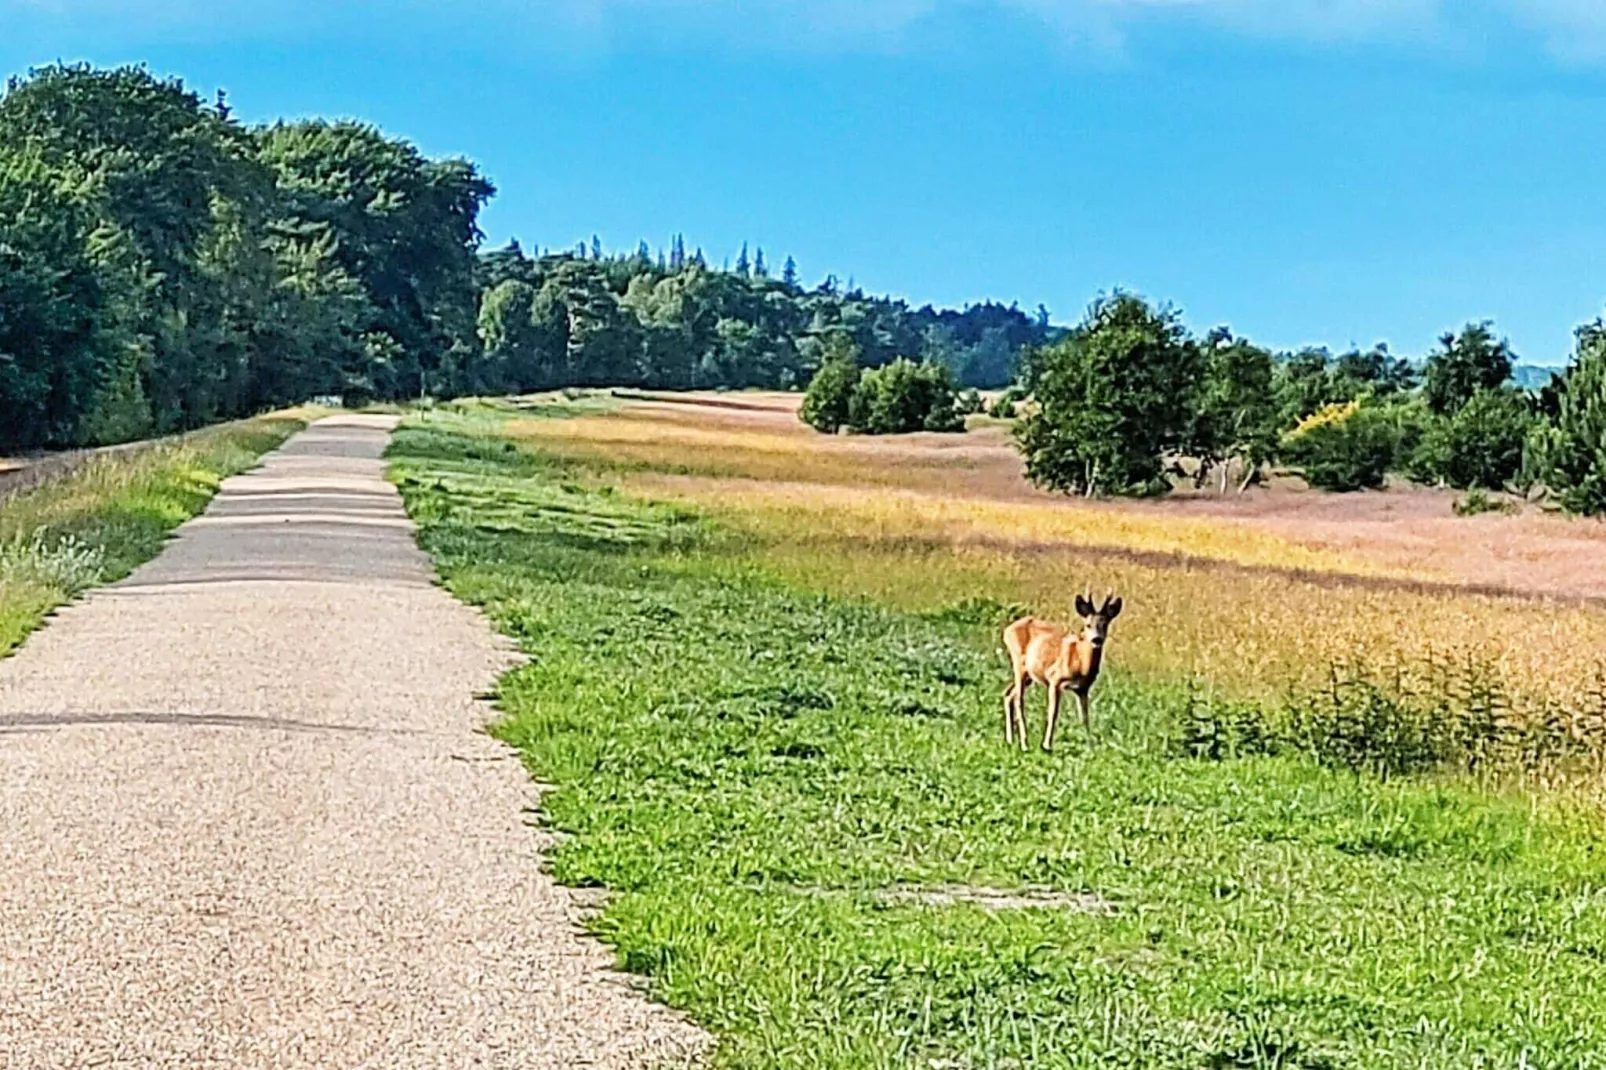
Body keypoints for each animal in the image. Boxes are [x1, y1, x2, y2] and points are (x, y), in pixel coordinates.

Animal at [995, 591, 1124, 748]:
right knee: (1019, 699)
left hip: (1029, 675)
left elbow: (1085, 717)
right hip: (1018, 662)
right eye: (1088, 625)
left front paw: (1090, 746)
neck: (1080, 663)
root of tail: (1007, 630)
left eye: (1104, 625)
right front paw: (1046, 745)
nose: (1096, 639)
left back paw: (1010, 740)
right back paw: (1024, 743)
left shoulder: (1083, 688)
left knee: (1008, 694)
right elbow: (1053, 713)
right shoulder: (1054, 679)